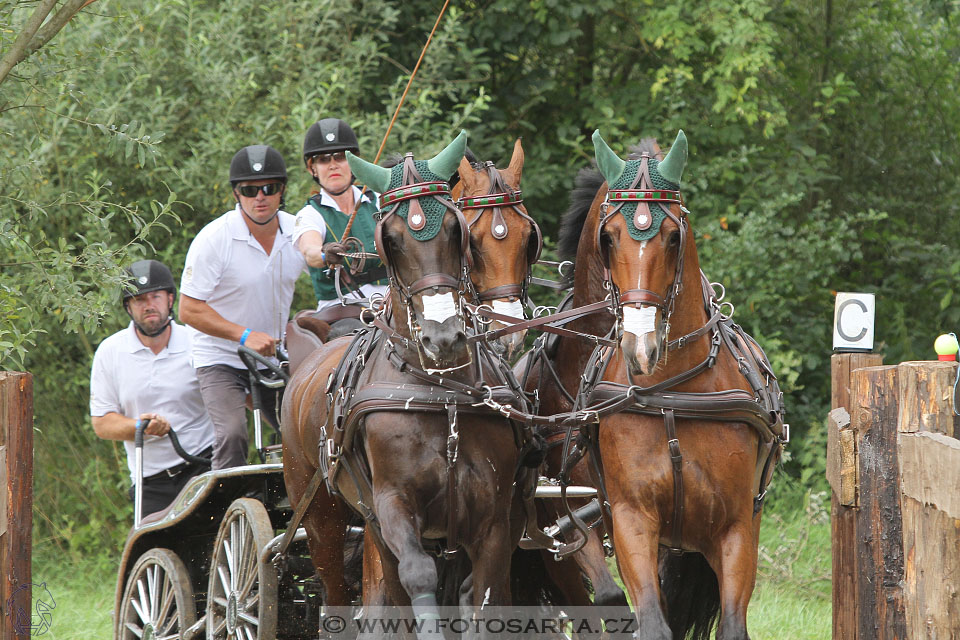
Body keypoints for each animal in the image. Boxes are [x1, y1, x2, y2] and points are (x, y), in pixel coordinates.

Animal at [284, 130, 540, 624]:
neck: (440, 390)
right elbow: (417, 579)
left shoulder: (495, 520)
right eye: (391, 240)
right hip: (324, 518)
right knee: (343, 592)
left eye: (457, 233)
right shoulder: (393, 507)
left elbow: (482, 597)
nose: (443, 337)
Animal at [544, 131, 784, 640]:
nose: (641, 348)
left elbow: (732, 625)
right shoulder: (630, 518)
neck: (674, 391)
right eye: (608, 237)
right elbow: (649, 620)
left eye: (674, 236)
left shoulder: (736, 528)